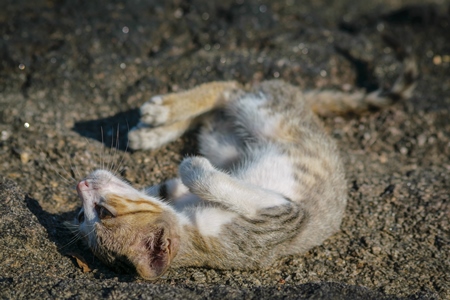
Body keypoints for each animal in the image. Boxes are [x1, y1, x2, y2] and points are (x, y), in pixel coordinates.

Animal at [74, 55, 418, 280]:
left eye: (103, 213)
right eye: (84, 217)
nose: (82, 184)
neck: (189, 219)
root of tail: (303, 103)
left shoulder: (284, 213)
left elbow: (191, 180)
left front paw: (189, 164)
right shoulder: (275, 214)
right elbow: (181, 183)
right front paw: (187, 167)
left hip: (261, 117)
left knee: (228, 89)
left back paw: (160, 114)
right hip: (221, 138)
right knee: (221, 105)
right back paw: (154, 131)